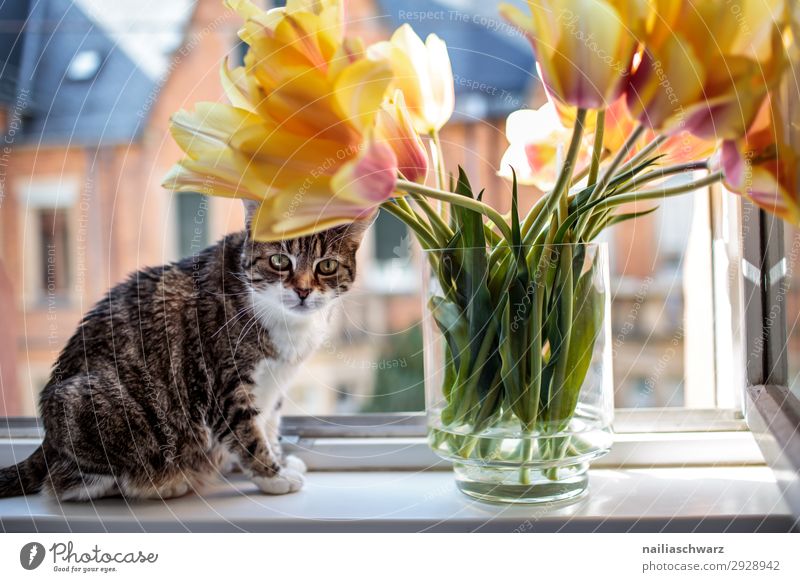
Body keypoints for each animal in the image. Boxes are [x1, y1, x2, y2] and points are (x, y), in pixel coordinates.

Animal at [0, 202, 368, 502]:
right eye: (279, 260)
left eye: (326, 266)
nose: (303, 291)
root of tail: (47, 440)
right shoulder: (224, 380)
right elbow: (246, 432)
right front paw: (272, 475)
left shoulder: (274, 382)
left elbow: (268, 422)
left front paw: (277, 458)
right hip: (93, 405)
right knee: (64, 484)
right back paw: (164, 483)